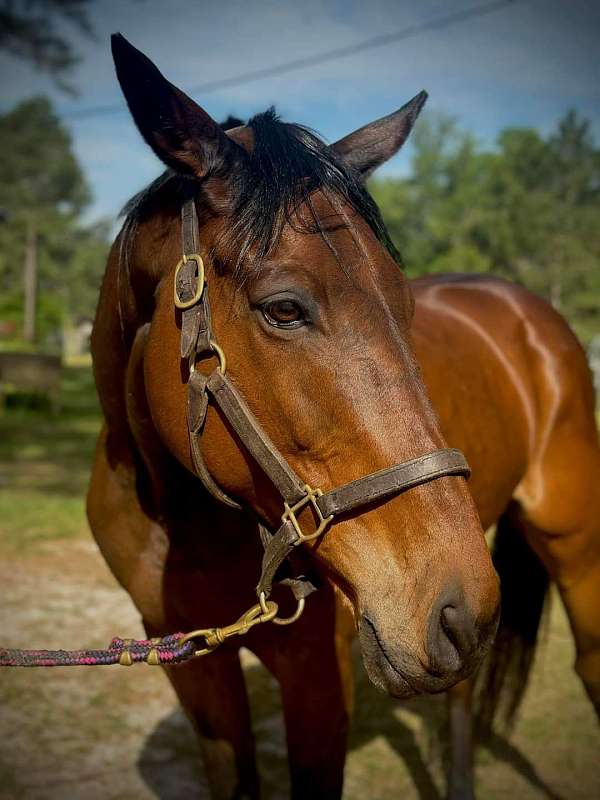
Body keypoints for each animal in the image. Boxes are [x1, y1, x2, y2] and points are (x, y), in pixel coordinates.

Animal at [89, 36, 600, 800]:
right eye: (283, 308)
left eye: (406, 305)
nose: (456, 604)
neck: (186, 520)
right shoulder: (194, 666)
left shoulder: (320, 687)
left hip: (571, 549)